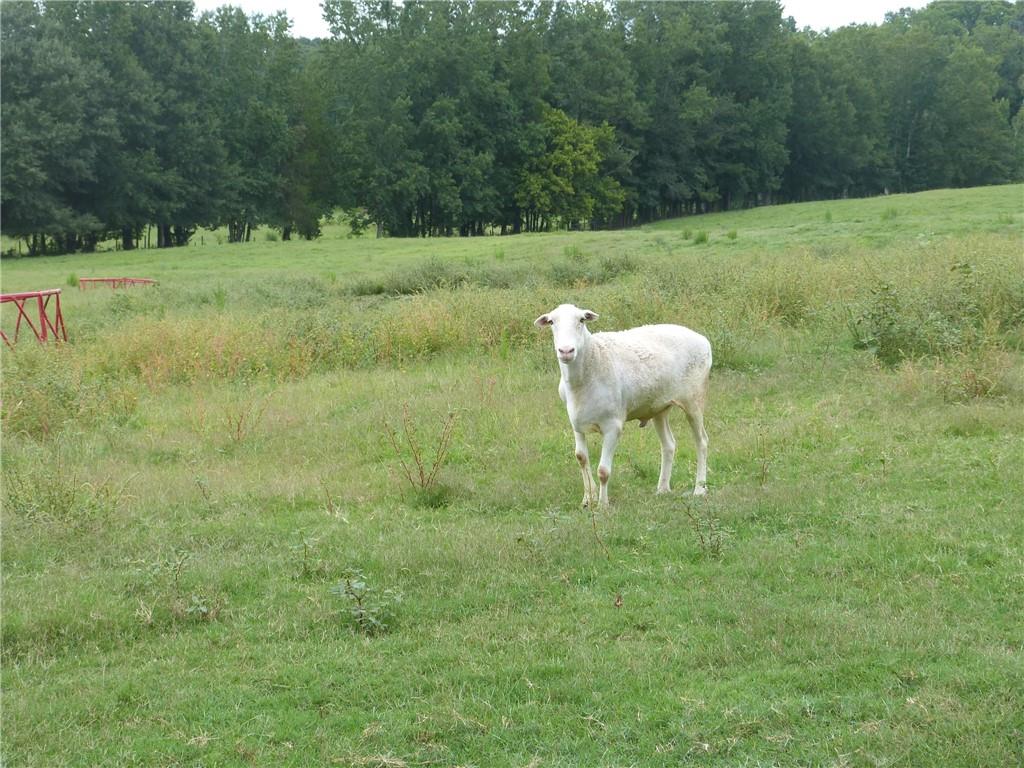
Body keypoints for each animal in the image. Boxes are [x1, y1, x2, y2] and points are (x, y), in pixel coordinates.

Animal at [536, 303, 712, 507]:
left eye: (581, 320)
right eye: (551, 322)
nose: (566, 351)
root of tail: (702, 339)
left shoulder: (613, 425)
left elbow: (603, 471)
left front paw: (603, 505)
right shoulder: (576, 422)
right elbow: (581, 458)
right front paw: (587, 499)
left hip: (694, 399)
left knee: (701, 442)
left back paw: (699, 489)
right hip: (659, 406)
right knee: (669, 444)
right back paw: (662, 489)